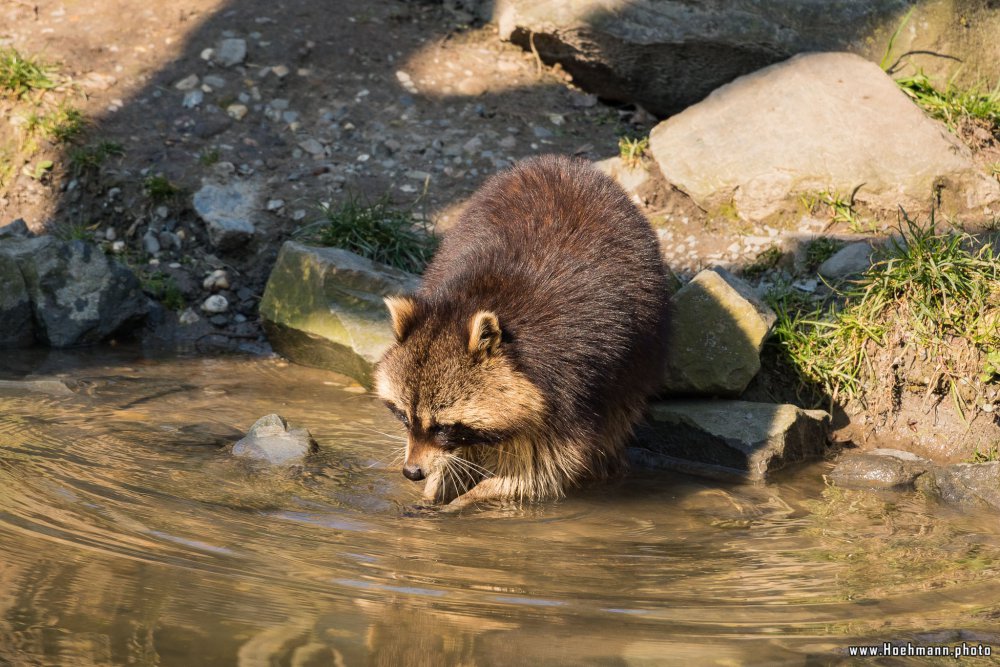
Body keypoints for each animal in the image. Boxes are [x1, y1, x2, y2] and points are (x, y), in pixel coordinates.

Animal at [378, 154, 668, 504]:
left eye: (444, 427)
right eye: (404, 416)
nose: (412, 472)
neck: (469, 304)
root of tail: (559, 162)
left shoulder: (569, 383)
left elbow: (545, 465)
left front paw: (473, 495)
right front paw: (439, 487)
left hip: (638, 354)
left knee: (617, 416)